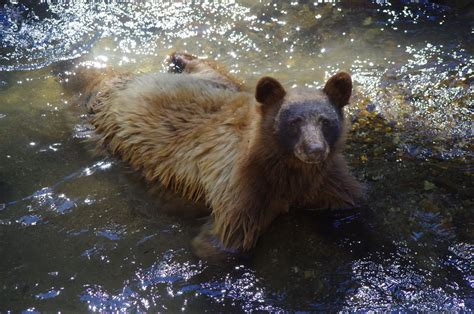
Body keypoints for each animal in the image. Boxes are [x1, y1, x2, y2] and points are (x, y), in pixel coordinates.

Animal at [64, 52, 362, 260]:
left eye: (326, 121)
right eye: (294, 122)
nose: (314, 150)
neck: (287, 170)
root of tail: (131, 79)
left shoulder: (326, 180)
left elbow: (349, 202)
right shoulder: (243, 187)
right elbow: (225, 241)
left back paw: (180, 56)